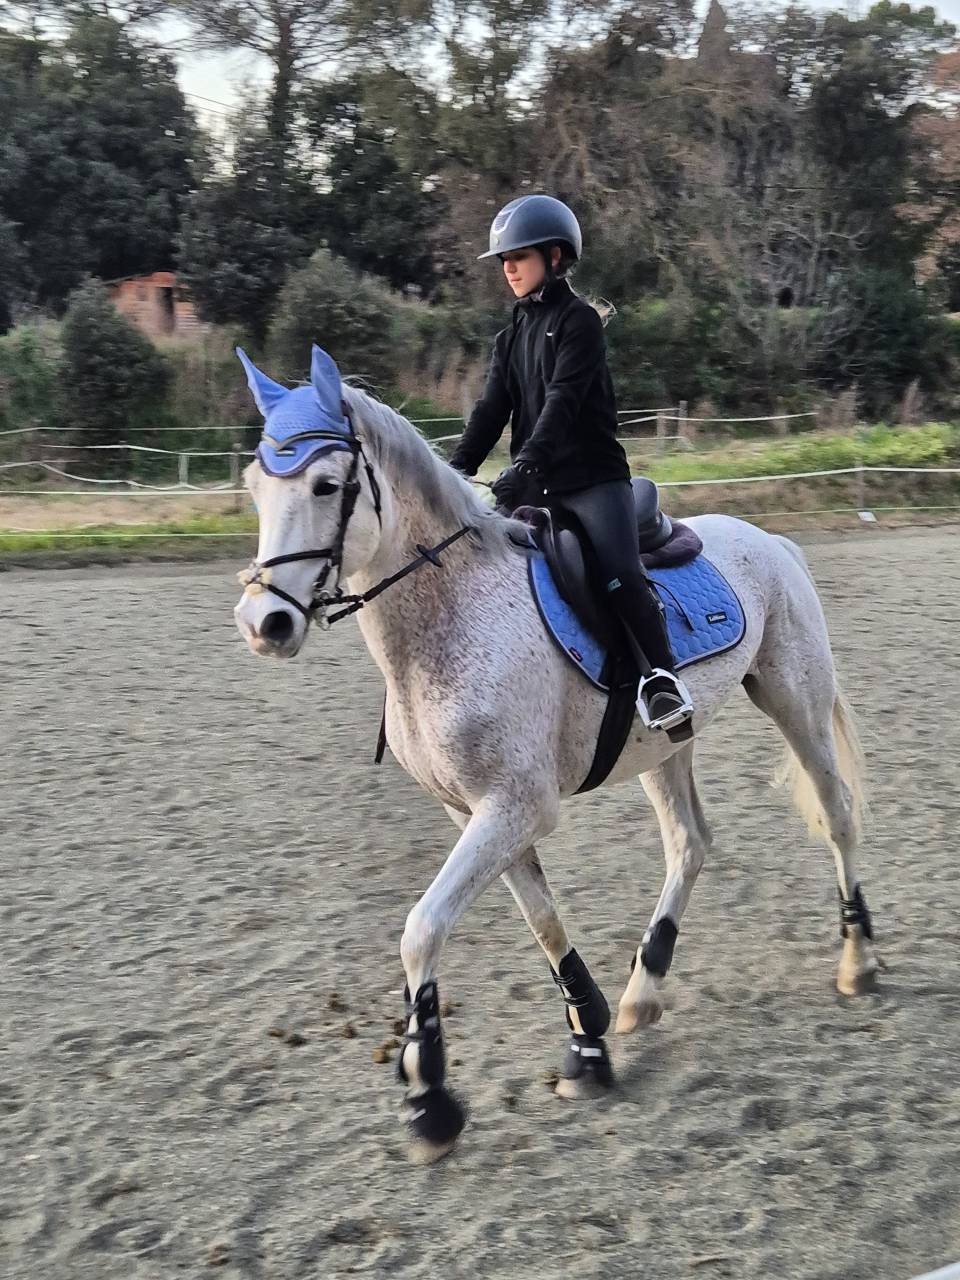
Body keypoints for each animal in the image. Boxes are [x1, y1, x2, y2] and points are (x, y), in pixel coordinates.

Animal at [233, 345, 879, 1164]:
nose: (265, 623)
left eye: (325, 484)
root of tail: (769, 540)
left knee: (836, 816)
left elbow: (422, 929)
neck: (450, 613)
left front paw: (429, 1098)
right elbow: (542, 921)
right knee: (690, 843)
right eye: (256, 486)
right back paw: (643, 990)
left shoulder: (515, 806)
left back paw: (858, 962)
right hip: (665, 744)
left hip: (795, 702)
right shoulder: (477, 812)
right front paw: (590, 1044)